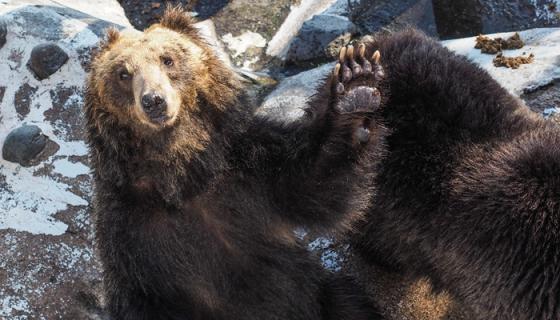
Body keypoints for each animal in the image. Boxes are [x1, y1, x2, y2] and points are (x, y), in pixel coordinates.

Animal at [85, 5, 388, 320]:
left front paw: (356, 83)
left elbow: (314, 185)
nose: (153, 100)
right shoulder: (129, 228)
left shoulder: (249, 165)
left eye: (167, 59)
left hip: (322, 296)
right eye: (123, 73)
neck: (183, 172)